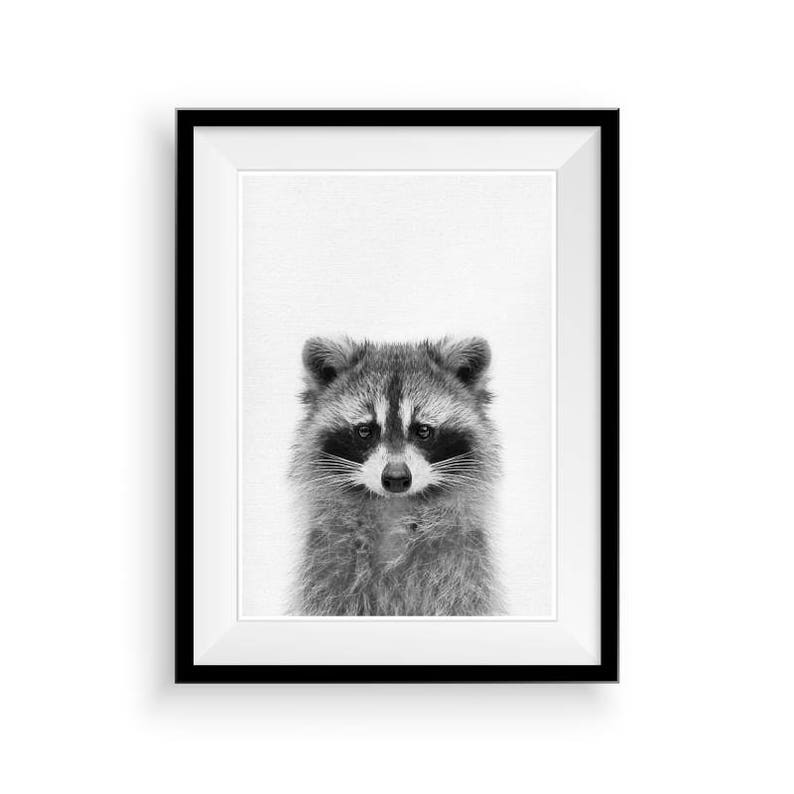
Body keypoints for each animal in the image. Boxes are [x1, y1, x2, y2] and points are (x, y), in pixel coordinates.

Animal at [290, 336, 501, 616]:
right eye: (365, 431)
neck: (394, 507)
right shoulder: (329, 567)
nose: (396, 478)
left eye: (423, 431)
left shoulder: (461, 568)